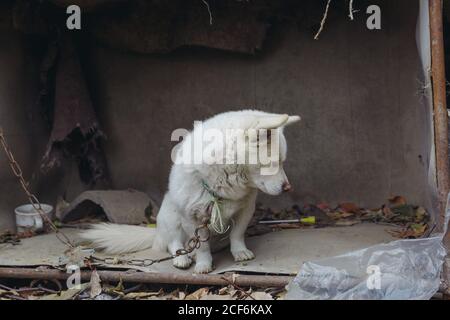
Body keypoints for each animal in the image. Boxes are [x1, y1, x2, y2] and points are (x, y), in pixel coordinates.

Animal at [81, 110, 298, 272]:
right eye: (272, 163)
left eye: (283, 161)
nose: (288, 187)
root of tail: (156, 233)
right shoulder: (190, 218)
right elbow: (202, 247)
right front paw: (203, 264)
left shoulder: (245, 210)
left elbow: (237, 234)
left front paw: (239, 252)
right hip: (171, 218)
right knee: (174, 244)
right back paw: (183, 258)